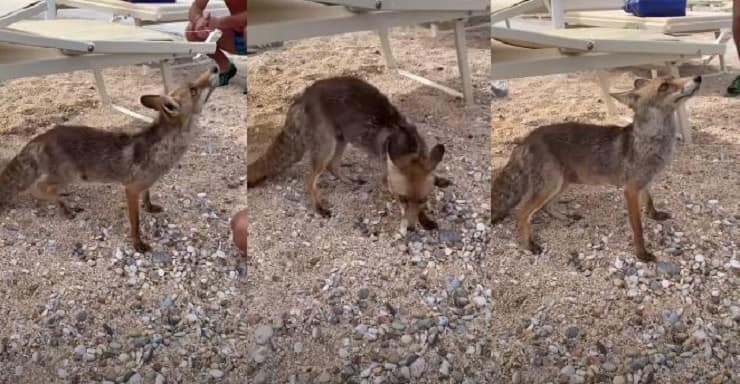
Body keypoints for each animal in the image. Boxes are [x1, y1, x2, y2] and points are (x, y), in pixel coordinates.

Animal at [0, 67, 218, 254]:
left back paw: (63, 202)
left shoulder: (145, 184)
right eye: (193, 90)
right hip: (68, 175)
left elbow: (147, 196)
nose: (215, 68)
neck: (163, 149)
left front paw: (149, 207)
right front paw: (137, 243)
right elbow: (135, 222)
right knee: (37, 188)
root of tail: (40, 137)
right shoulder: (131, 189)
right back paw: (61, 203)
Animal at [247, 75, 446, 231]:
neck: (408, 143)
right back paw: (319, 207)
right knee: (310, 178)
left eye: (423, 200)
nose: (411, 229)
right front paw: (421, 219)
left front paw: (426, 214)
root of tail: (304, 94)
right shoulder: (386, 176)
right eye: (402, 199)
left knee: (333, 166)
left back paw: (349, 181)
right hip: (327, 146)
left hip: (342, 140)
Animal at [488, 76, 704, 260]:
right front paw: (641, 254)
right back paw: (527, 244)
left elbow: (650, 202)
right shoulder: (630, 190)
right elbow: (638, 228)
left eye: (674, 78)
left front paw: (655, 215)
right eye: (664, 86)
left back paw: (565, 217)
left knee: (547, 207)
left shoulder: (645, 182)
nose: (698, 78)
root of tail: (526, 139)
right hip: (550, 186)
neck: (648, 142)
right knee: (522, 214)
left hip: (562, 184)